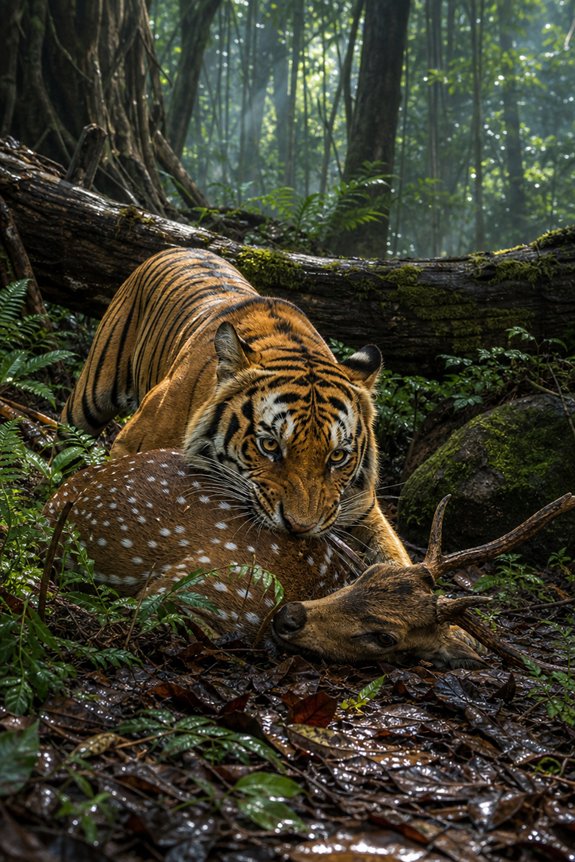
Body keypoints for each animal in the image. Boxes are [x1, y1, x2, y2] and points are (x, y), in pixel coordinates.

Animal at [61, 247, 410, 565]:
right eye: (269, 445)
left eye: (337, 456)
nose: (300, 527)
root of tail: (181, 246)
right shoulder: (130, 445)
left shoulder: (361, 505)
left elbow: (394, 554)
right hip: (90, 397)